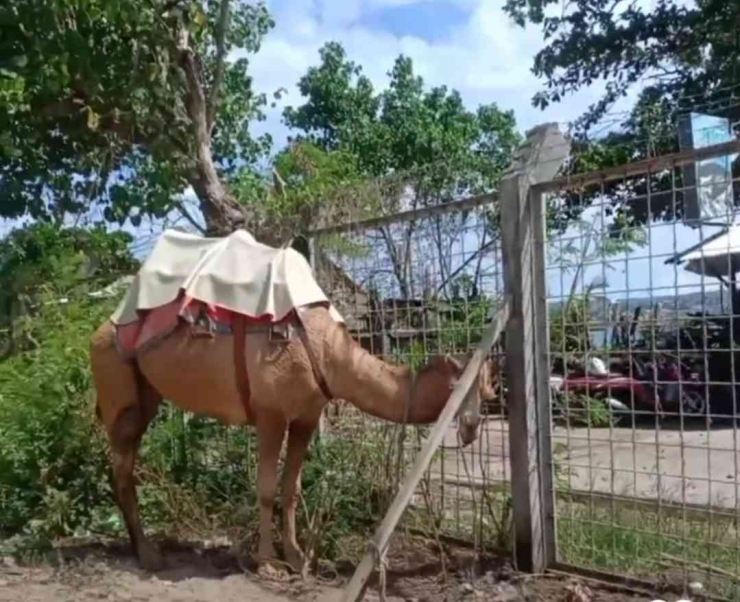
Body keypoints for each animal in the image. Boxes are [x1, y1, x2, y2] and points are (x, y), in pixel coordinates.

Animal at [92, 302, 498, 568]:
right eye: (468, 385)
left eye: (486, 387)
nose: (472, 426)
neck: (330, 356)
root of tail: (98, 331)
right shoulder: (270, 413)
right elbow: (266, 488)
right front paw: (268, 562)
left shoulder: (306, 416)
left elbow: (291, 488)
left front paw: (296, 556)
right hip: (116, 378)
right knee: (122, 466)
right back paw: (147, 554)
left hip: (146, 393)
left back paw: (138, 546)